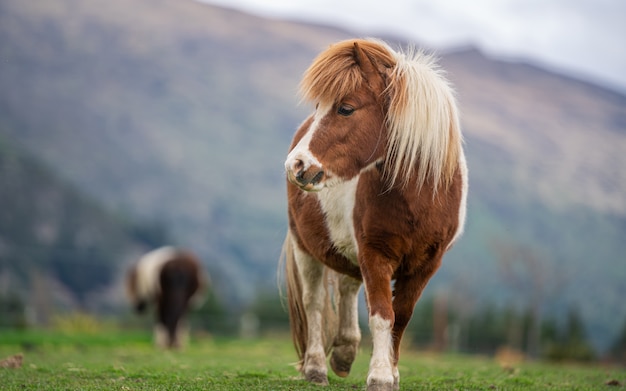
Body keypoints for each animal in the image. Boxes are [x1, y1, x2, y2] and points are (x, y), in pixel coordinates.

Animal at [282, 39, 468, 391]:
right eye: (319, 106)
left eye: (345, 108)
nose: (296, 165)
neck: (418, 198)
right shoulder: (375, 254)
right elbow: (383, 314)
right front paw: (380, 375)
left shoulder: (426, 265)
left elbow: (402, 316)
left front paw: (391, 373)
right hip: (304, 247)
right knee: (314, 303)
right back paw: (316, 367)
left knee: (346, 286)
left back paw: (345, 352)